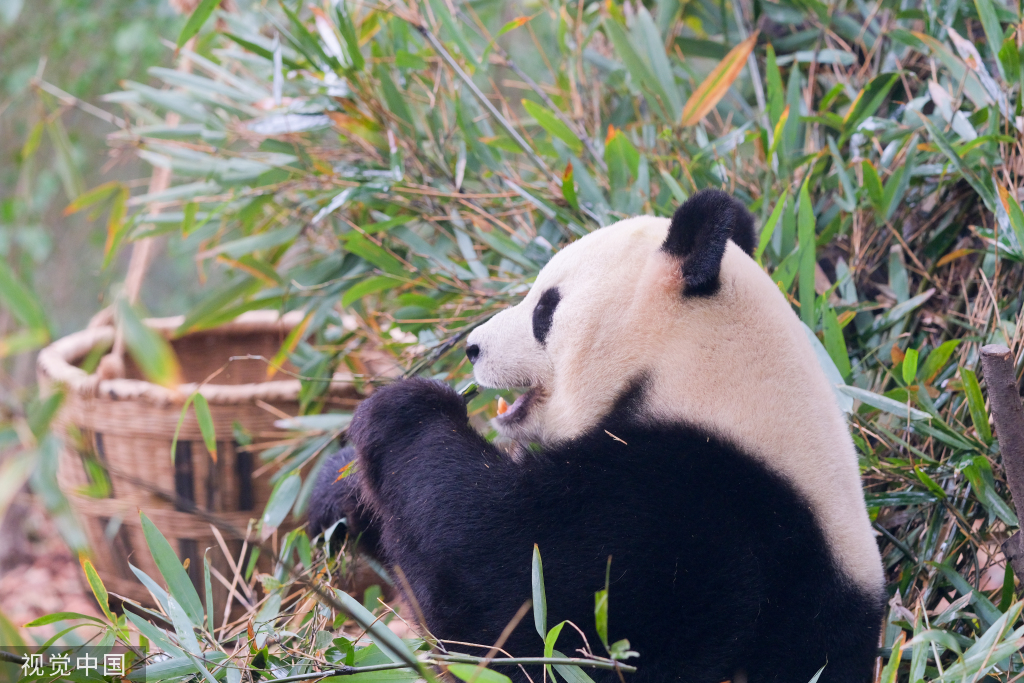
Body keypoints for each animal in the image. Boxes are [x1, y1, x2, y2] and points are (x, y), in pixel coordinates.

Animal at [307, 189, 884, 683]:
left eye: (545, 309)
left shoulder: (694, 511)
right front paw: (335, 493)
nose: (472, 347)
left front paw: (400, 409)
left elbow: (516, 594)